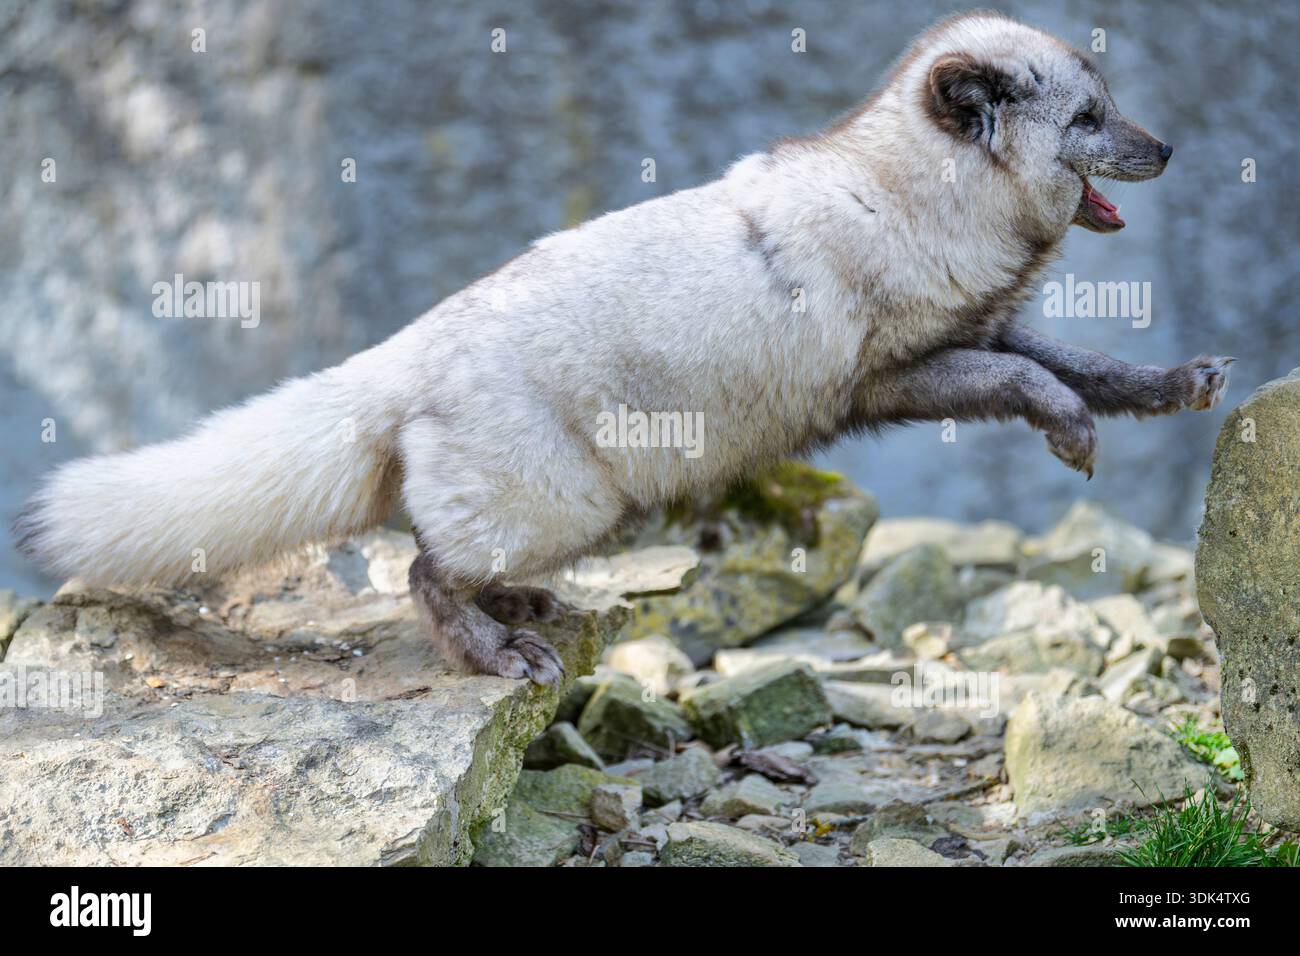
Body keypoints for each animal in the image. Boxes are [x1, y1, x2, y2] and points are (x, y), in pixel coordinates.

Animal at [18, 11, 1231, 686]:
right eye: (1087, 120)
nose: (1170, 148)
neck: (913, 200)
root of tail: (402, 354)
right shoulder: (892, 379)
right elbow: (1033, 382)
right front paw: (1072, 435)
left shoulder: (982, 326)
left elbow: (1084, 367)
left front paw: (1178, 384)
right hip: (565, 503)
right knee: (420, 568)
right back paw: (495, 651)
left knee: (446, 559)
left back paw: (521, 612)